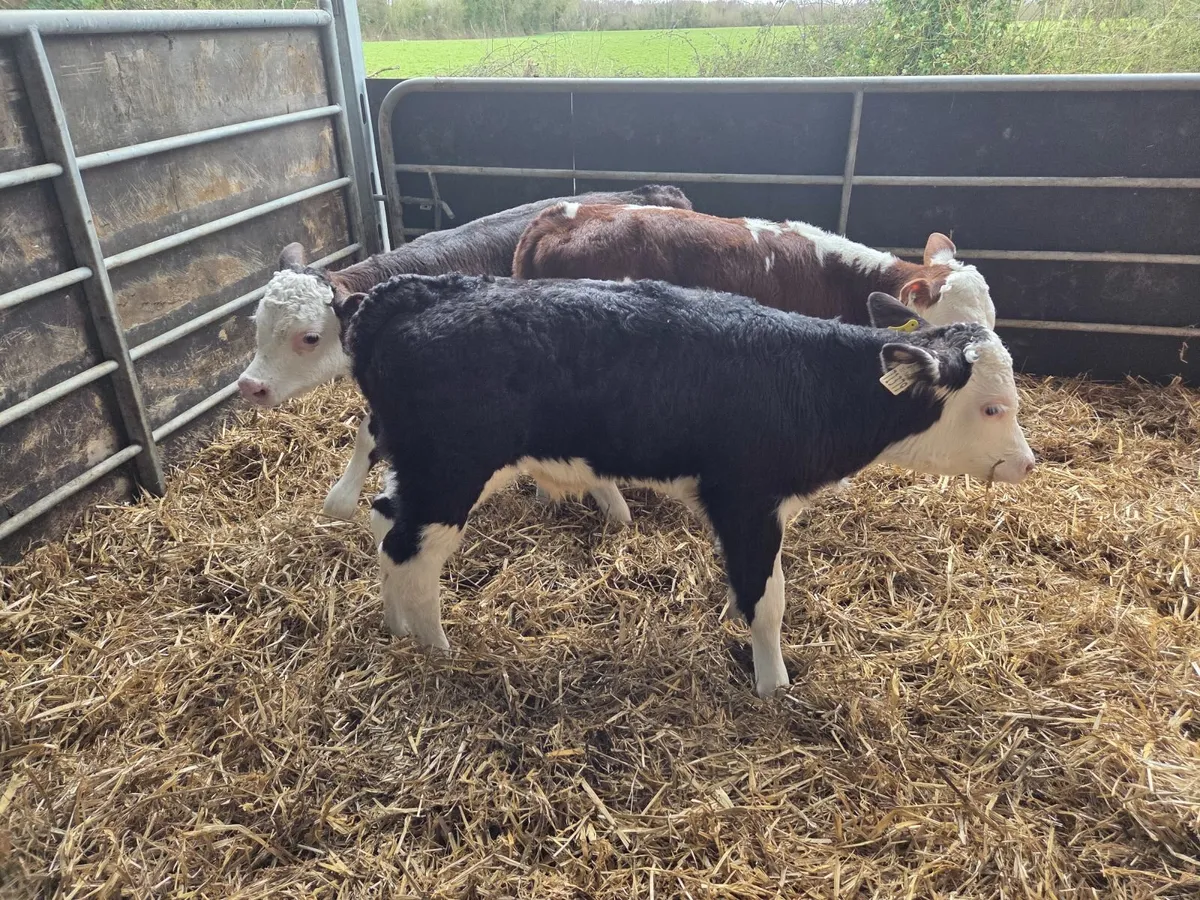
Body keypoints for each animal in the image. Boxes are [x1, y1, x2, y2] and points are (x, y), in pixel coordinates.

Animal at [235, 185, 692, 523]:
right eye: (257, 323)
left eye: (310, 337)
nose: (250, 385)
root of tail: (654, 191)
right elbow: (368, 432)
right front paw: (342, 499)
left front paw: (612, 505)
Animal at [325, 273, 1034, 697]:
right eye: (993, 408)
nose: (1028, 464)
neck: (808, 384)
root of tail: (408, 295)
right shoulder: (746, 500)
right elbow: (768, 599)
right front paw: (774, 684)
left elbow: (751, 587)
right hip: (450, 472)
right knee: (412, 555)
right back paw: (437, 648)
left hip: (419, 466)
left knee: (385, 524)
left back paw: (395, 627)